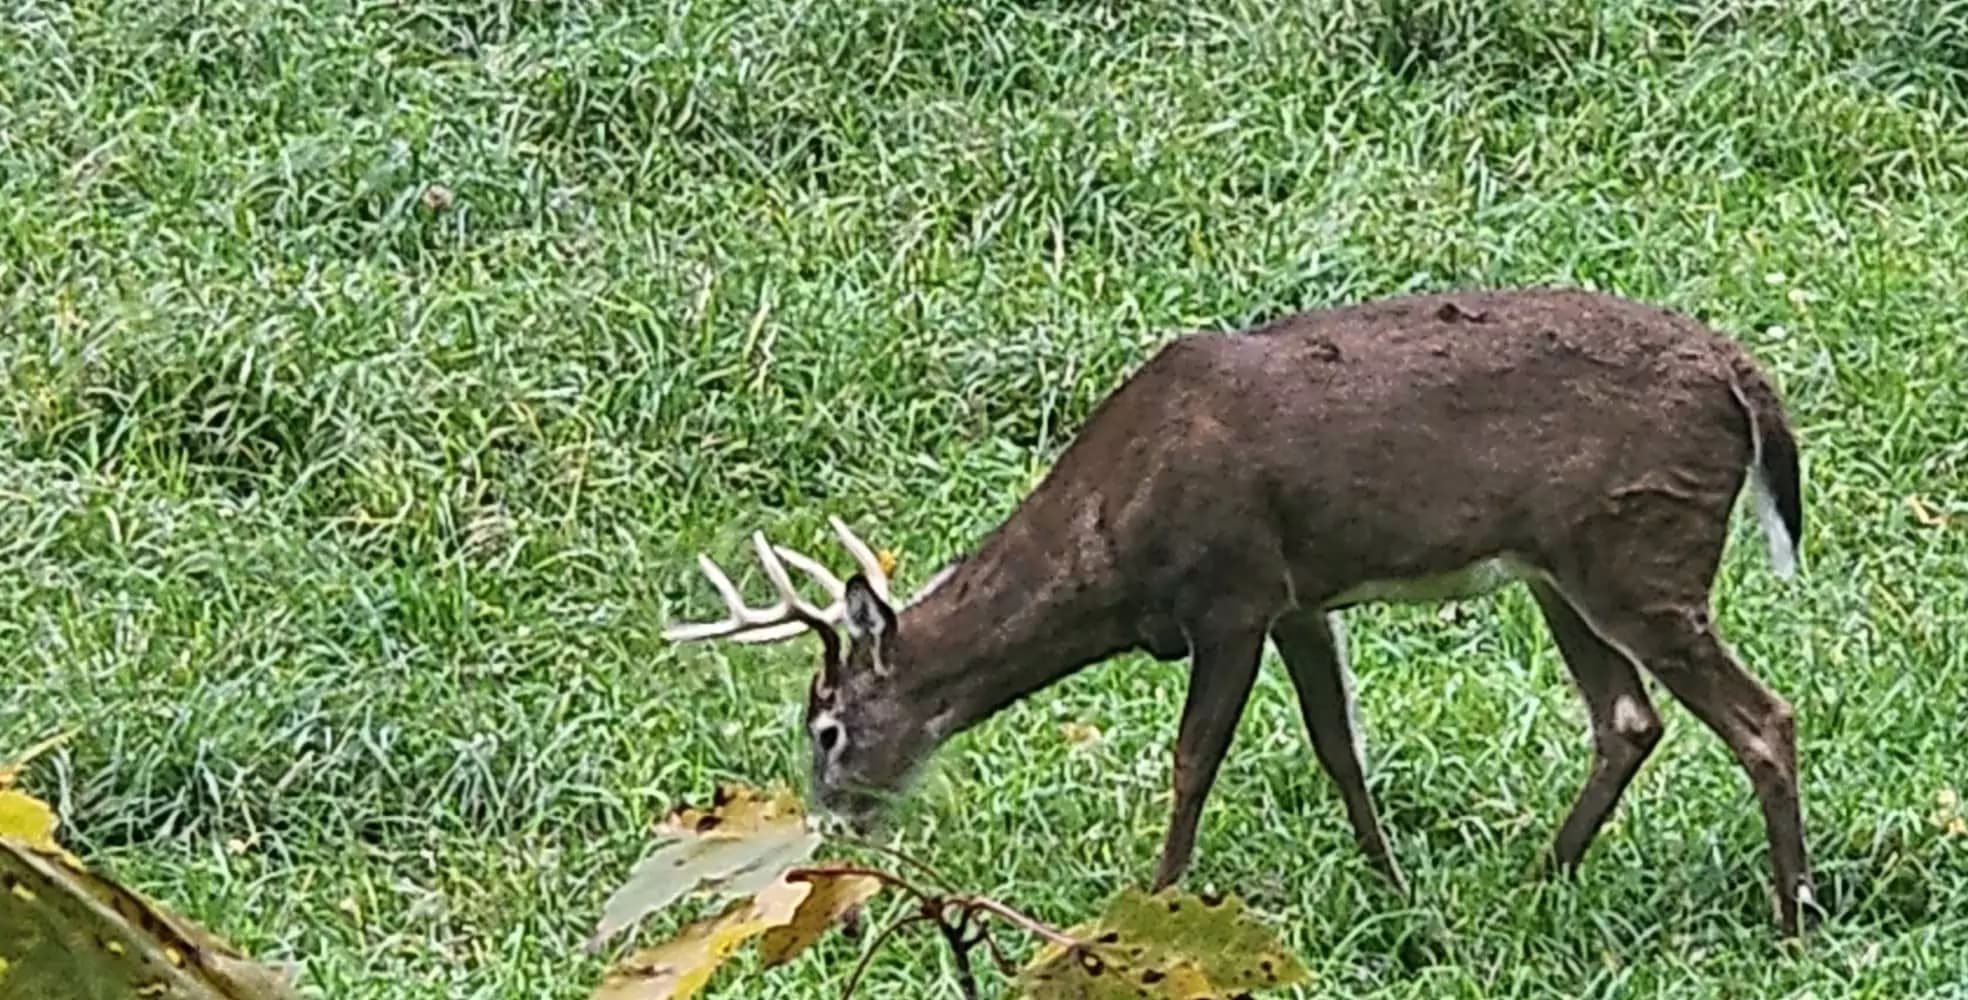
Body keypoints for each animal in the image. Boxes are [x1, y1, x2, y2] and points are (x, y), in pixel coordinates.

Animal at [660, 286, 1817, 936]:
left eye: (826, 726)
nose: (832, 821)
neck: (1114, 545)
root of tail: (1744, 379)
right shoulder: (1301, 598)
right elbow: (1339, 745)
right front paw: (1393, 887)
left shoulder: (1233, 591)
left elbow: (1192, 758)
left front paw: (1154, 901)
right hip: (1558, 566)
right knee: (1627, 719)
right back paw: (1540, 876)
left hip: (1637, 543)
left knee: (1764, 717)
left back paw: (1793, 917)